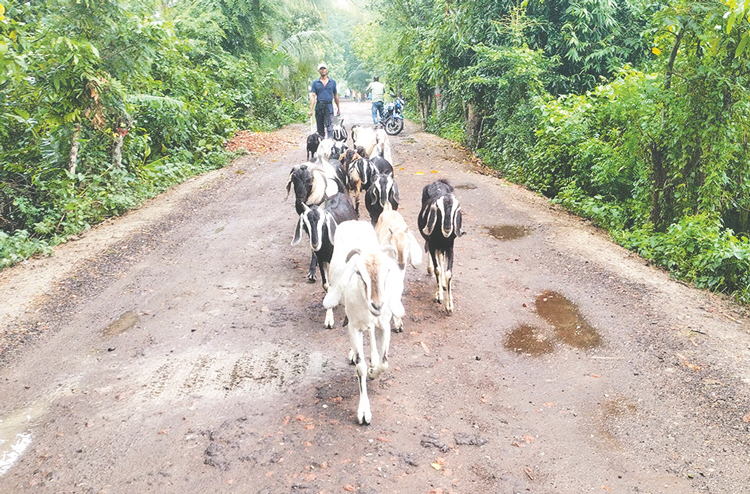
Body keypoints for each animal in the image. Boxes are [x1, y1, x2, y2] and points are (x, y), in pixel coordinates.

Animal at [324, 221, 406, 424]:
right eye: (359, 273)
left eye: (387, 271)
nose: (377, 304)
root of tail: (354, 222)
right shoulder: (354, 327)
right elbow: (360, 368)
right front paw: (363, 412)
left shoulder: (384, 325)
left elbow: (384, 363)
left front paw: (373, 371)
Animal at [418, 180, 464, 312]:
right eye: (439, 211)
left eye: (454, 212)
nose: (448, 228)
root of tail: (437, 182)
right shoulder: (433, 244)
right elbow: (437, 269)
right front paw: (438, 296)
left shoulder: (450, 247)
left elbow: (448, 273)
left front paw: (449, 306)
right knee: (430, 251)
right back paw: (430, 269)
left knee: (440, 257)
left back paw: (443, 283)